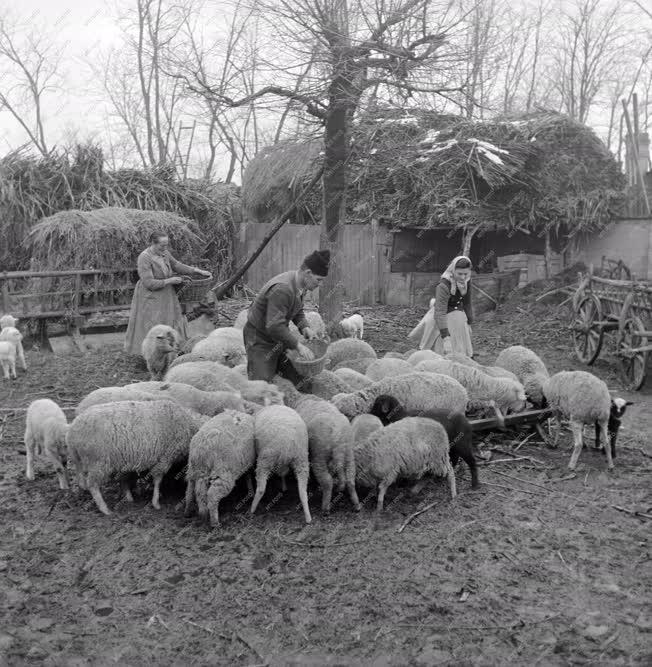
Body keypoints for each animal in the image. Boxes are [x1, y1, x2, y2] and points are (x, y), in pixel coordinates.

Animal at [67, 400, 205, 516]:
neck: (188, 423)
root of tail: (72, 431)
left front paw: (129, 496)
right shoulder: (164, 457)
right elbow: (158, 479)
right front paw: (156, 502)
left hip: (80, 460)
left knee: (81, 480)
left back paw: (83, 495)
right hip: (99, 462)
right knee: (92, 484)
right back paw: (104, 508)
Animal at [272, 378, 360, 516]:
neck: (297, 399)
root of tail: (338, 436)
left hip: (319, 455)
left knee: (328, 482)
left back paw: (325, 508)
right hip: (349, 453)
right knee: (351, 479)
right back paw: (356, 505)